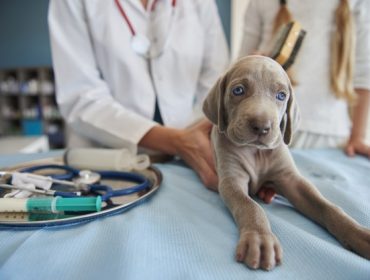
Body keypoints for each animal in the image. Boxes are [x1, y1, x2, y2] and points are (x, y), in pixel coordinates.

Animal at [202, 55, 370, 272]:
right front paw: (260, 239)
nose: (262, 126)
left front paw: (359, 233)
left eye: (281, 95)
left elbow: (328, 206)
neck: (256, 152)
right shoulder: (231, 181)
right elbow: (250, 206)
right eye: (238, 90)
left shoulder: (292, 181)